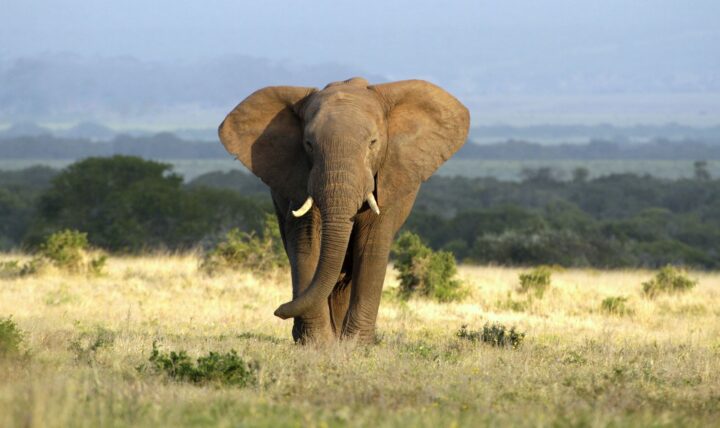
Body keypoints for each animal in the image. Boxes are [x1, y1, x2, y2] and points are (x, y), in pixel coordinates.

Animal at [218, 77, 469, 343]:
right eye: (308, 144)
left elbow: (371, 246)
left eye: (373, 143)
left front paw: (355, 344)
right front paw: (317, 343)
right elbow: (307, 243)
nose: (279, 310)